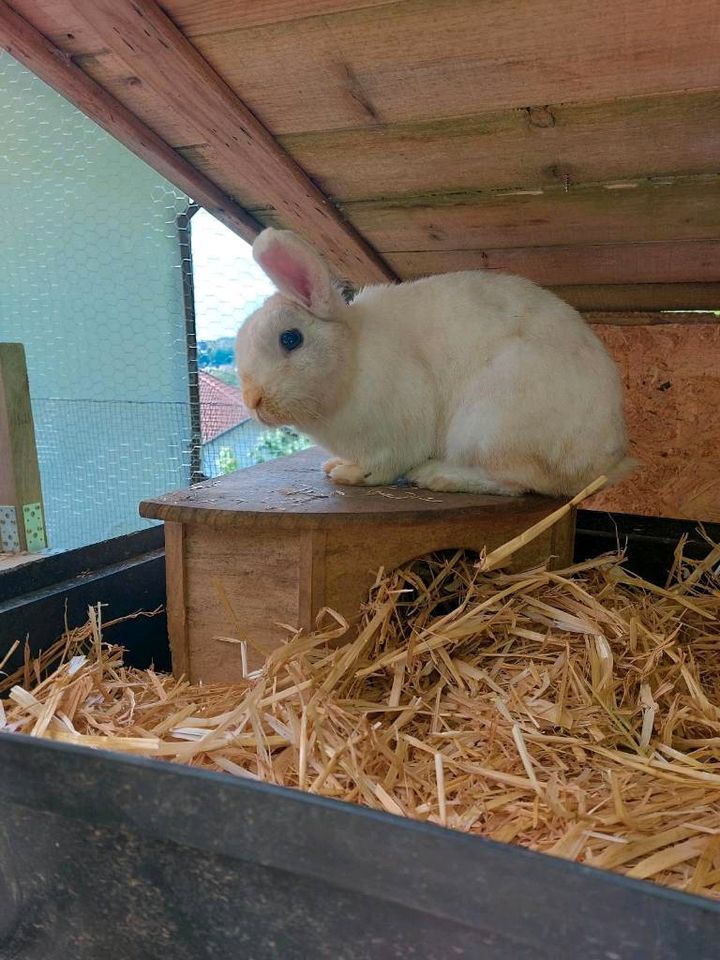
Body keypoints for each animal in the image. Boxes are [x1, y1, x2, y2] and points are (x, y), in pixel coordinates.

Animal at [233, 227, 632, 496]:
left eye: (290, 339)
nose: (253, 401)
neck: (353, 358)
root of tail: (604, 462)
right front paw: (333, 466)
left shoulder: (397, 429)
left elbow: (382, 466)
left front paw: (347, 474)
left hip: (487, 425)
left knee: (514, 482)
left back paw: (436, 475)